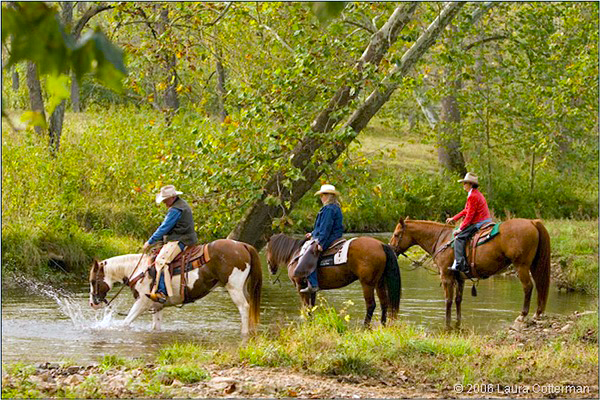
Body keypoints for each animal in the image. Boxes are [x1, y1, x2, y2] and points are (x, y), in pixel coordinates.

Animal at [88, 239, 262, 336]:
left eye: (93, 281)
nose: (92, 303)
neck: (138, 270)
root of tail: (243, 245)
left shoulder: (142, 303)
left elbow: (125, 323)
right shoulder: (156, 305)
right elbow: (156, 327)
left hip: (234, 288)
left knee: (244, 307)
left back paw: (244, 333)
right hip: (243, 288)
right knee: (250, 305)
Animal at [266, 233, 398, 326]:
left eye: (267, 249)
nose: (270, 267)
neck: (295, 254)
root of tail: (381, 245)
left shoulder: (300, 287)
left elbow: (306, 308)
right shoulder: (311, 290)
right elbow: (311, 307)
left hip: (367, 283)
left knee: (371, 305)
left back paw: (365, 326)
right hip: (379, 282)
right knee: (384, 303)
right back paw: (382, 325)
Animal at [386, 219, 552, 328]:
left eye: (396, 234)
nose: (391, 249)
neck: (441, 239)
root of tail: (532, 222)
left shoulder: (446, 277)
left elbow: (448, 301)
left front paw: (447, 323)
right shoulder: (460, 279)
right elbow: (458, 300)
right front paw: (457, 322)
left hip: (521, 265)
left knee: (528, 287)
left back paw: (522, 316)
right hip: (533, 265)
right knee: (539, 286)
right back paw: (537, 314)